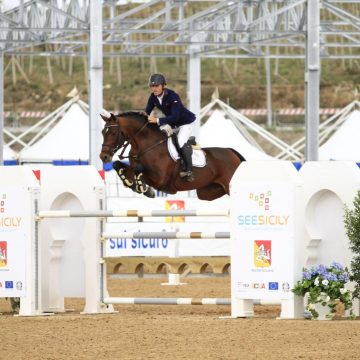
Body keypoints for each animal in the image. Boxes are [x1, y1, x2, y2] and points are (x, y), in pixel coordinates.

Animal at [98, 111, 246, 201]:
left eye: (113, 133)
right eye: (102, 132)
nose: (103, 157)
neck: (146, 145)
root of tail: (233, 153)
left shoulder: (160, 179)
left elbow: (140, 171)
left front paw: (144, 188)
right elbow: (119, 165)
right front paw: (130, 181)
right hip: (207, 192)